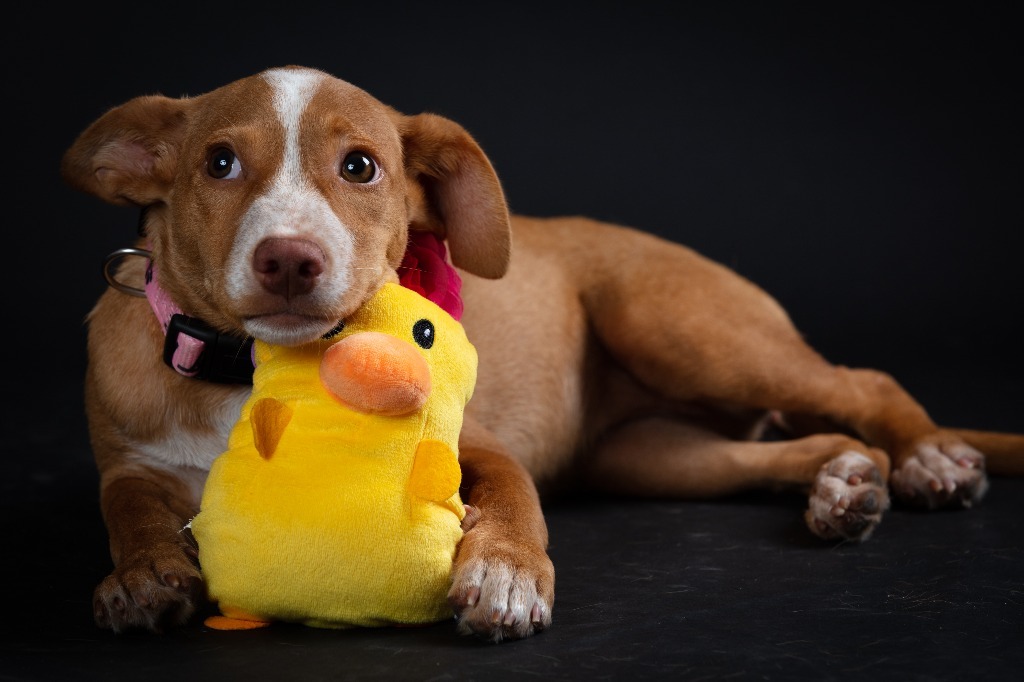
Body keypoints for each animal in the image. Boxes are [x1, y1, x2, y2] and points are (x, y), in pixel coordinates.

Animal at [59, 62, 1019, 638]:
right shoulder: (131, 461)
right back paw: (843, 485)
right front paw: (144, 574)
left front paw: (508, 574)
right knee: (798, 443)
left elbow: (517, 498)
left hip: (676, 325)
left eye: (362, 167)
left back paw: (926, 458)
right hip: (652, 457)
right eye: (218, 164)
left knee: (862, 382)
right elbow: (128, 508)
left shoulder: (480, 445)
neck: (259, 376)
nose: (290, 260)